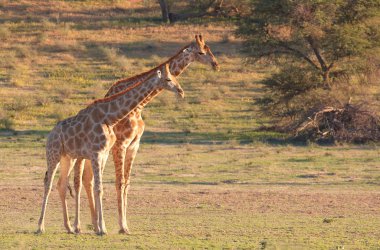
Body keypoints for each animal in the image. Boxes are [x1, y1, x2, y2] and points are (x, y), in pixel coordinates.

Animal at [37, 63, 184, 235]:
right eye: (168, 79)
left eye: (174, 77)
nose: (181, 91)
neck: (110, 117)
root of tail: (50, 134)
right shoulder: (96, 153)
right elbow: (98, 187)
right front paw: (102, 229)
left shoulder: (104, 154)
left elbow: (100, 187)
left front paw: (102, 227)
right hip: (53, 154)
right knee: (48, 183)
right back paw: (40, 227)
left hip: (68, 157)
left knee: (61, 184)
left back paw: (69, 228)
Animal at [73, 34, 220, 233]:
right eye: (202, 52)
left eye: (208, 48)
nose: (216, 64)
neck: (140, 107)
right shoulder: (120, 145)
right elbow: (119, 182)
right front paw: (122, 226)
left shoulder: (134, 145)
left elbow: (126, 183)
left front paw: (125, 225)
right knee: (82, 180)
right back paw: (82, 225)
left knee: (87, 179)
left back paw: (95, 224)